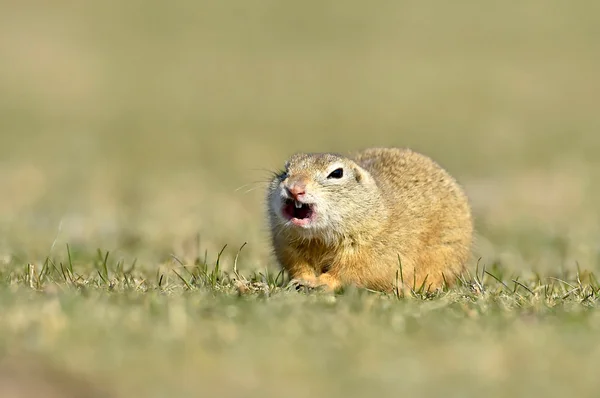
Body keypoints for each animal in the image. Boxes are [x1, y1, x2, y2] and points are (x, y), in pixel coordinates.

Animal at [268, 146, 474, 292]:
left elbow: (350, 272)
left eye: (336, 173)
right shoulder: (289, 245)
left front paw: (322, 282)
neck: (320, 239)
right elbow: (299, 265)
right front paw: (303, 280)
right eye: (285, 171)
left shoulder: (370, 253)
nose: (294, 188)